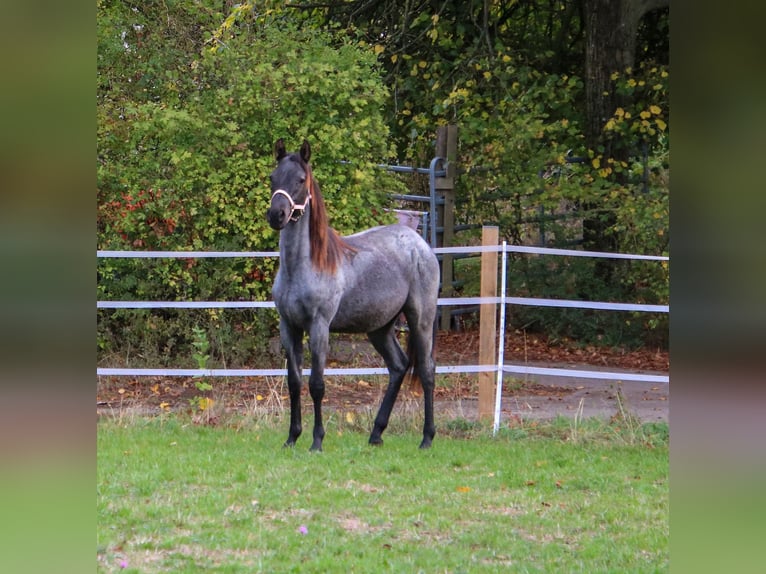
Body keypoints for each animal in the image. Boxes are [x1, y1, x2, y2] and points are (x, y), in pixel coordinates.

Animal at [266, 139, 440, 451]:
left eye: (301, 180)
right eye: (273, 178)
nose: (277, 215)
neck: (305, 266)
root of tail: (420, 244)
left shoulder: (319, 327)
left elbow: (317, 385)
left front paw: (317, 441)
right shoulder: (289, 327)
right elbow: (294, 383)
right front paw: (292, 438)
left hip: (421, 319)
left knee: (426, 371)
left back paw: (427, 438)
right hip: (380, 328)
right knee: (398, 367)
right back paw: (376, 434)